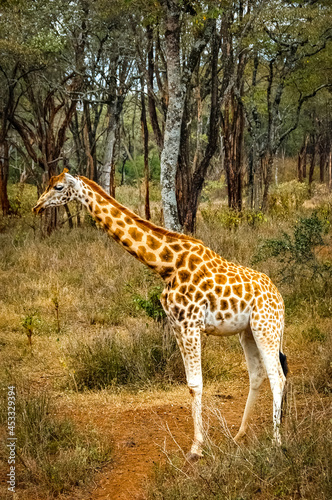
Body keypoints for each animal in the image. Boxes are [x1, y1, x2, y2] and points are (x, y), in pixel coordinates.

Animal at [33, 169, 288, 460]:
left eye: (58, 187)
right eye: (48, 184)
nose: (37, 206)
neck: (166, 264)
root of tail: (280, 298)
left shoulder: (190, 324)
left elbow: (196, 384)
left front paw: (196, 448)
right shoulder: (177, 324)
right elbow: (189, 384)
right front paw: (199, 443)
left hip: (266, 328)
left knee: (277, 377)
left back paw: (276, 442)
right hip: (247, 332)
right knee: (257, 375)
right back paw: (239, 435)